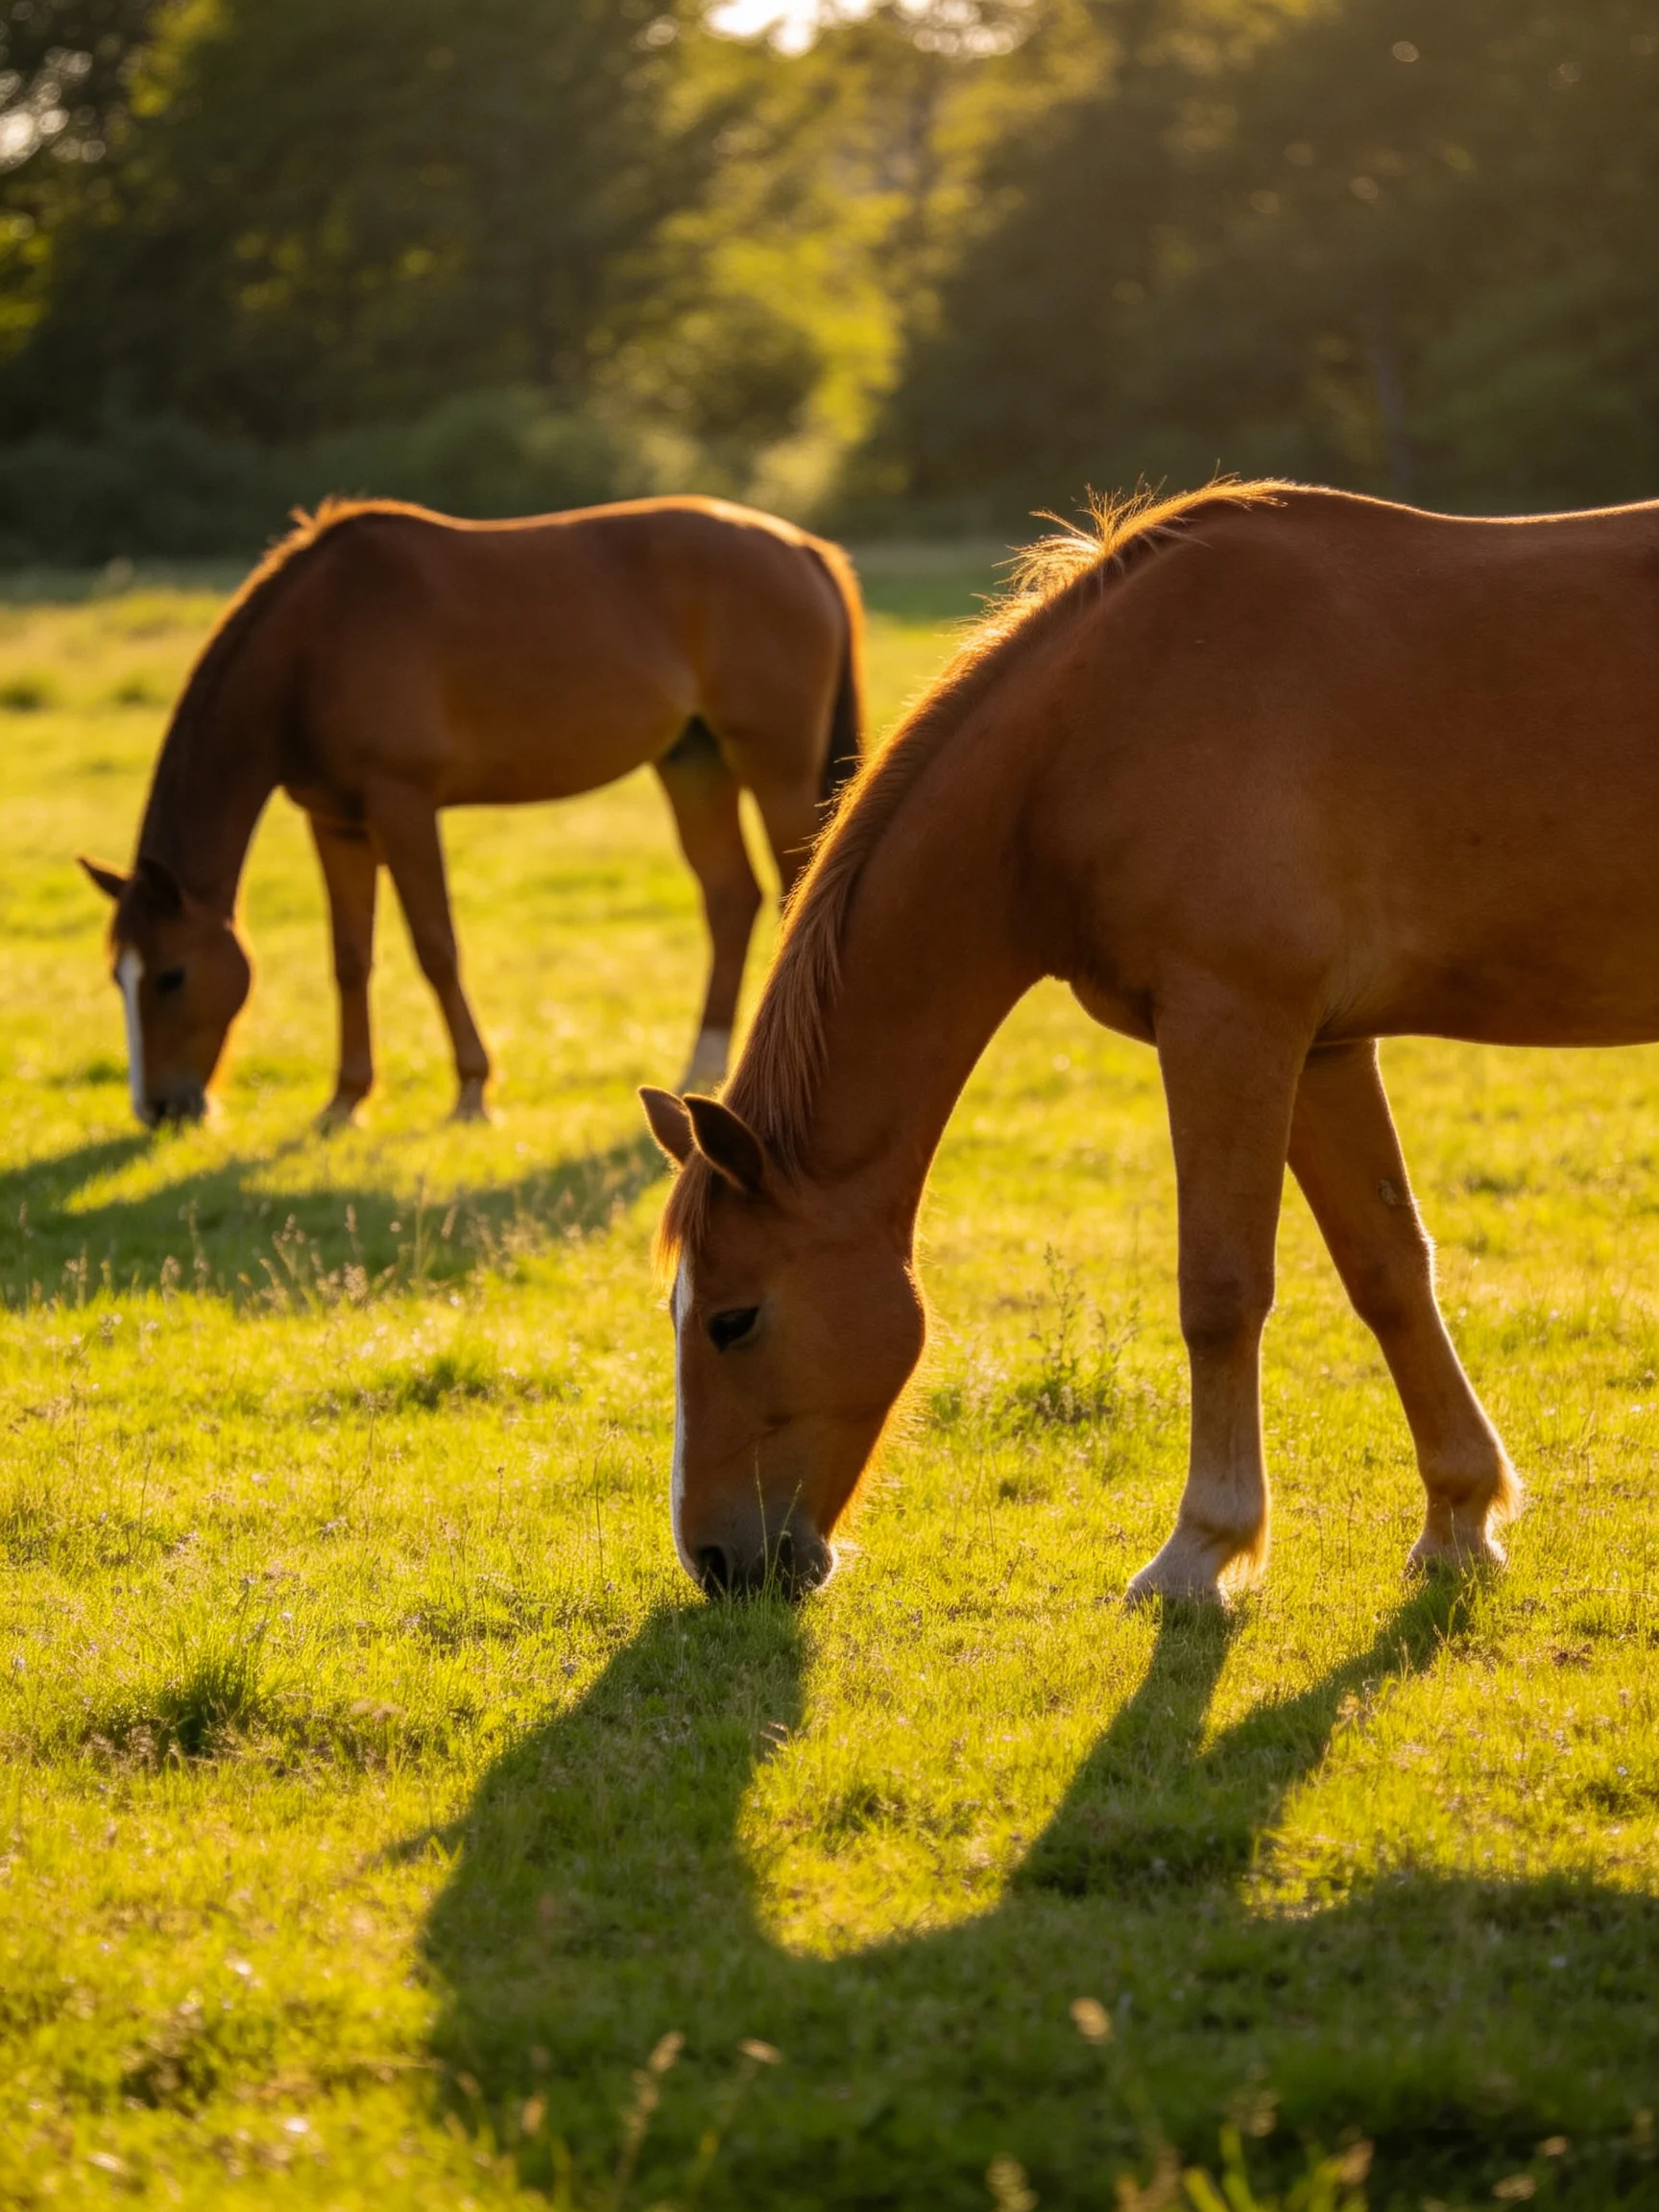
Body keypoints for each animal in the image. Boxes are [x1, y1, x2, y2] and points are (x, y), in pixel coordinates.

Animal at [78, 494, 863, 1127]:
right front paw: (345, 1100)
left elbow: (435, 946)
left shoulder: (403, 805)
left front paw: (472, 1090)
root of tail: (802, 549)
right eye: (118, 976)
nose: (159, 1110)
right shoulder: (335, 822)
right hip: (694, 763)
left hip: (772, 765)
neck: (316, 643)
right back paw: (703, 1064)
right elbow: (350, 956)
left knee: (796, 889)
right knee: (732, 897)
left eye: (172, 975)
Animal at [639, 476, 1659, 1606]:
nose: (718, 1560)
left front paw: (1200, 1549)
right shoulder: (1322, 1048)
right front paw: (1458, 1519)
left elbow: (1219, 1290)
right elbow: (1389, 1270)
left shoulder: (1229, 1023)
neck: (1095, 736)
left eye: (735, 1319)